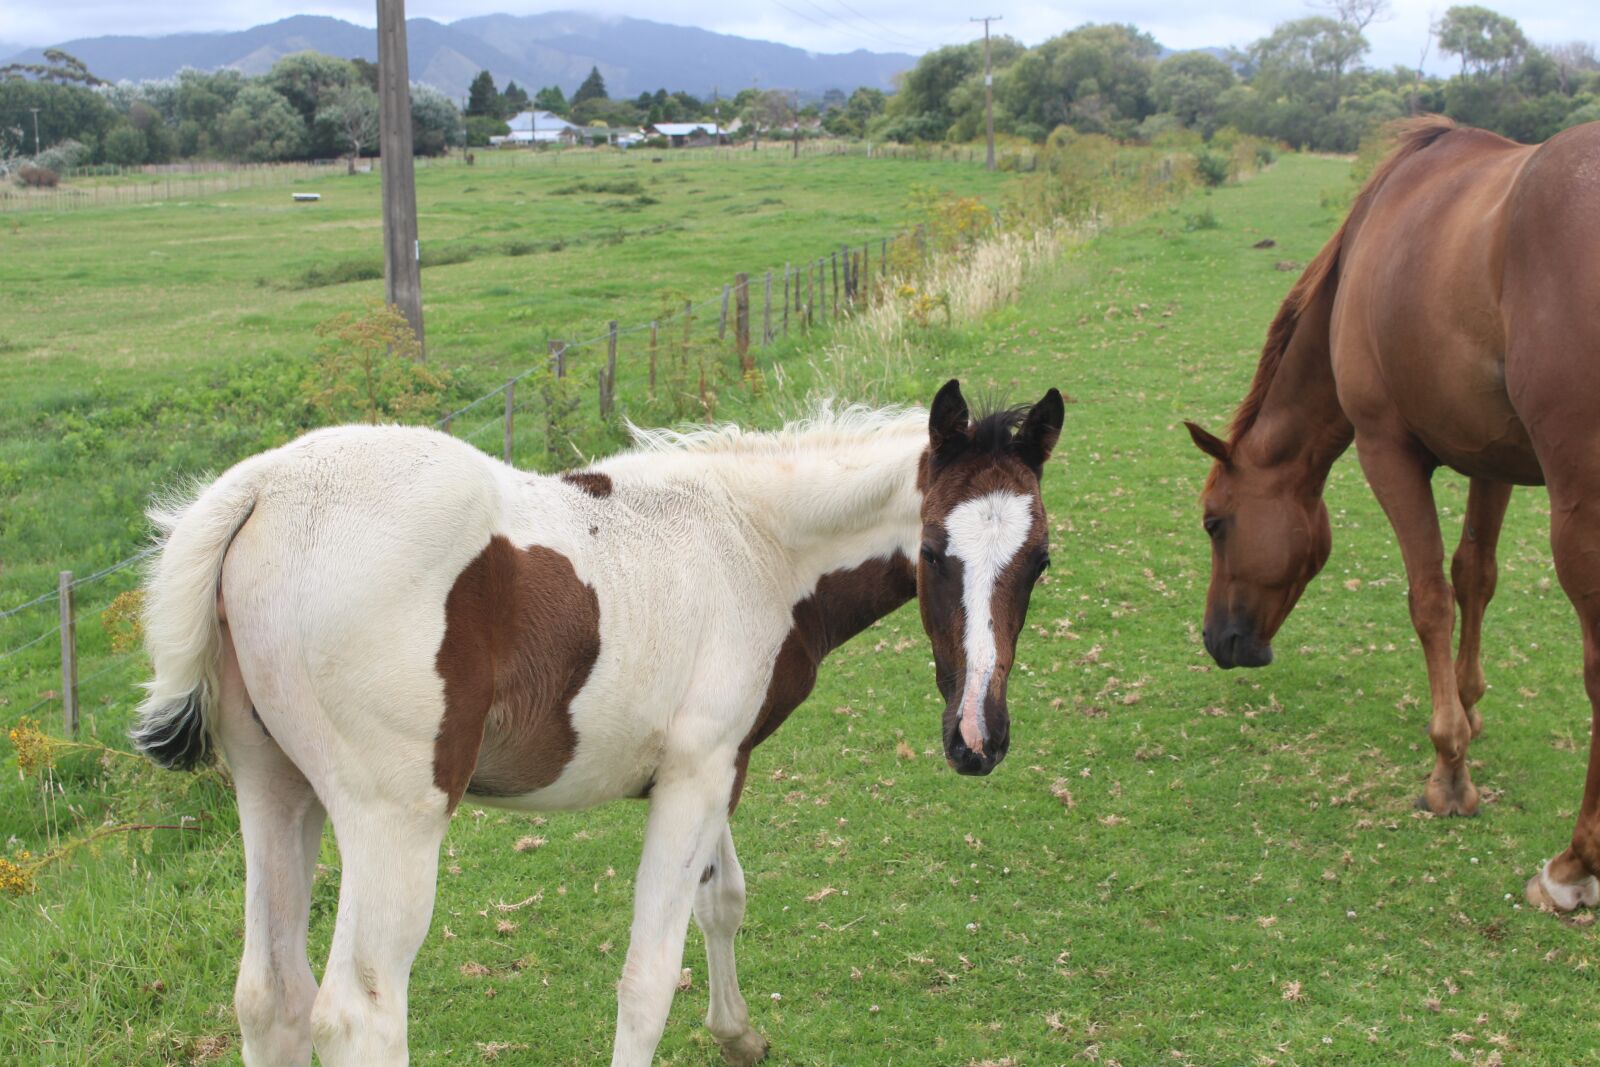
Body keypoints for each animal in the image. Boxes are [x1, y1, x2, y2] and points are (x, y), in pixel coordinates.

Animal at [131, 379, 1063, 1065]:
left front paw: (739, 1034)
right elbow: (648, 978)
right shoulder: (696, 777)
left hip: (274, 788)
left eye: (1041, 559)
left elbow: (721, 898)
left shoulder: (714, 764)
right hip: (391, 819)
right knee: (359, 1013)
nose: (977, 739)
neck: (752, 544)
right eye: (935, 549)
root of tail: (259, 488)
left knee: (269, 998)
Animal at [1183, 116, 1600, 912]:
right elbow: (1475, 575)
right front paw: (1468, 708)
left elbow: (1429, 598)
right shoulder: (1490, 458)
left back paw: (1574, 865)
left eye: (1216, 522)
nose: (1218, 640)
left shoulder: (1387, 450)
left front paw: (1449, 773)